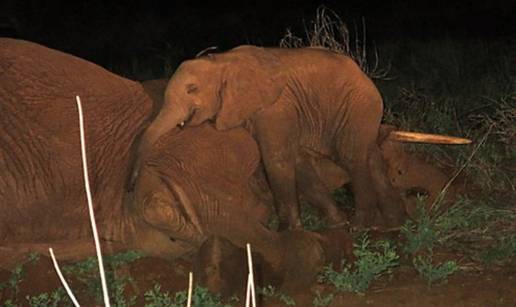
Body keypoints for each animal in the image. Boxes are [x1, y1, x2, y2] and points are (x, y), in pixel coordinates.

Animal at [132, 45, 468, 231]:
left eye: (191, 90)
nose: (131, 186)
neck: (222, 61)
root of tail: (366, 78)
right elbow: (295, 159)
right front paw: (334, 223)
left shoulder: (276, 107)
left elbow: (277, 159)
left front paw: (288, 232)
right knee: (369, 153)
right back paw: (394, 223)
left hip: (357, 105)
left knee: (353, 157)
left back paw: (363, 226)